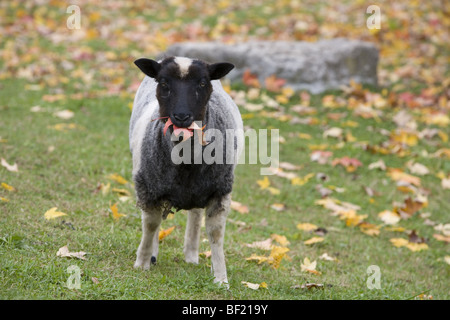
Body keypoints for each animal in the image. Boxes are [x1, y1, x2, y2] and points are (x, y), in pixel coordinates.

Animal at [128, 55, 244, 284]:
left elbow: (215, 233)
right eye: (163, 83)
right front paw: (142, 262)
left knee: (196, 214)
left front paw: (221, 279)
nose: (181, 116)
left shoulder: (220, 190)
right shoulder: (148, 187)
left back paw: (191, 254)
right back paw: (154, 254)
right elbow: (151, 225)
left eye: (202, 83)